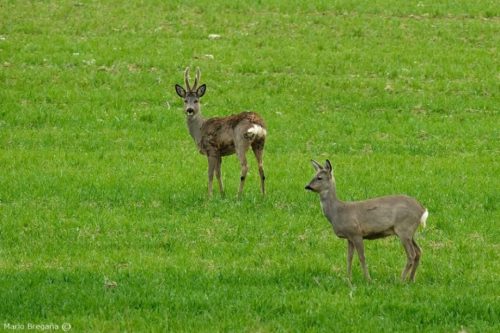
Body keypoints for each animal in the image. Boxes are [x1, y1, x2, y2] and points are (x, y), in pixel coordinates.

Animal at [175, 67, 268, 197]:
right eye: (185, 100)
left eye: (196, 100)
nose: (190, 110)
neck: (200, 129)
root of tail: (256, 123)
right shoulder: (219, 153)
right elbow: (218, 173)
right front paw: (222, 194)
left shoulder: (211, 149)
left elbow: (210, 174)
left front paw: (209, 196)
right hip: (260, 142)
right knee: (261, 166)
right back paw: (263, 195)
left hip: (241, 141)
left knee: (245, 166)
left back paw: (238, 195)